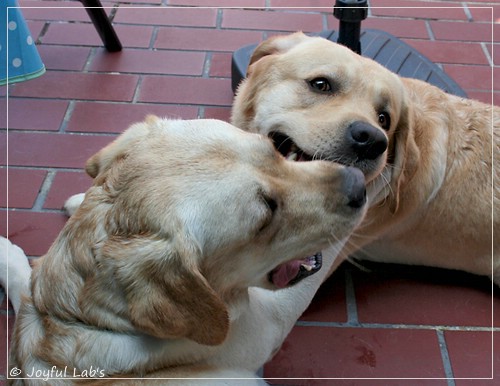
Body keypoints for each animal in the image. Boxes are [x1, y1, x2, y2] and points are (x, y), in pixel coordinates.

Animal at [1, 116, 366, 384]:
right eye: (265, 217)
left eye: (274, 150)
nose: (359, 185)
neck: (79, 319)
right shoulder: (264, 325)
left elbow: (25, 277)